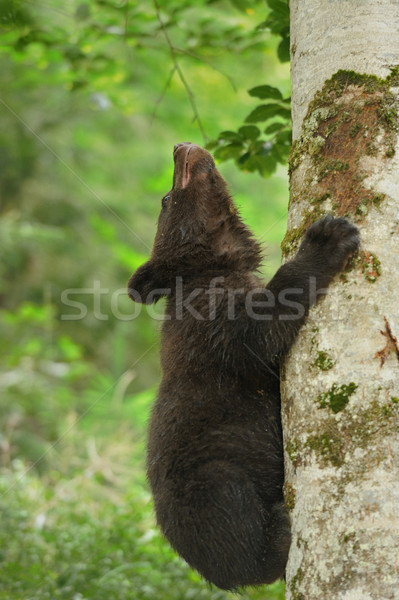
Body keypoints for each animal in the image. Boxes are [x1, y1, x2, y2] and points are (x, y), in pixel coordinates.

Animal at [127, 142, 360, 592]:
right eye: (165, 199)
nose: (181, 147)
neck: (212, 270)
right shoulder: (210, 325)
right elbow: (260, 334)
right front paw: (328, 237)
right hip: (215, 476)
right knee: (239, 526)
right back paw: (280, 531)